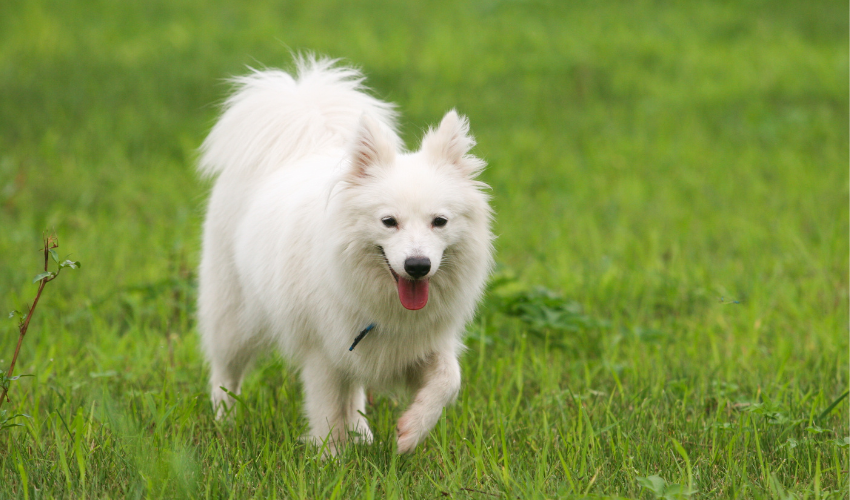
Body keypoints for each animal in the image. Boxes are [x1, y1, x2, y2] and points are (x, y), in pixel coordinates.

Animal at [196, 57, 494, 454]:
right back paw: (224, 421)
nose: (418, 266)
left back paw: (362, 434)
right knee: (225, 371)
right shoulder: (323, 351)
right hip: (233, 317)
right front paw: (331, 457)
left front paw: (410, 432)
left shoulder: (418, 343)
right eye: (389, 222)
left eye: (439, 221)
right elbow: (326, 410)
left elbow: (449, 380)